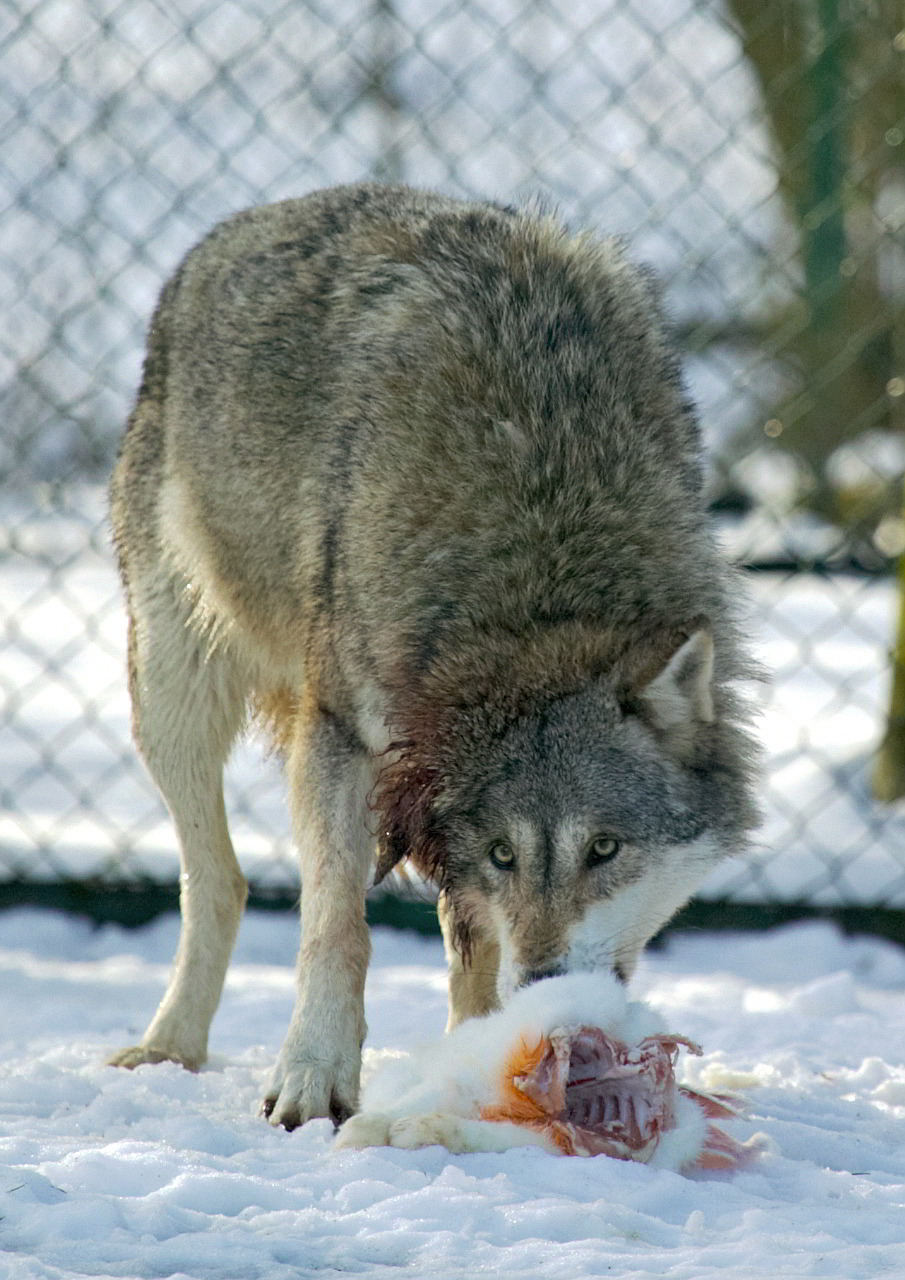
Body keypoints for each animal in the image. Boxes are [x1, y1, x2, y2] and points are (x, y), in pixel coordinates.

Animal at [104, 183, 757, 1131]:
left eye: (604, 849)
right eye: (504, 855)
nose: (544, 988)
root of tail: (232, 229)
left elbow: (473, 954)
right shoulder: (342, 738)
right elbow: (337, 928)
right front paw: (312, 1080)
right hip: (172, 699)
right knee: (219, 882)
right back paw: (168, 1047)